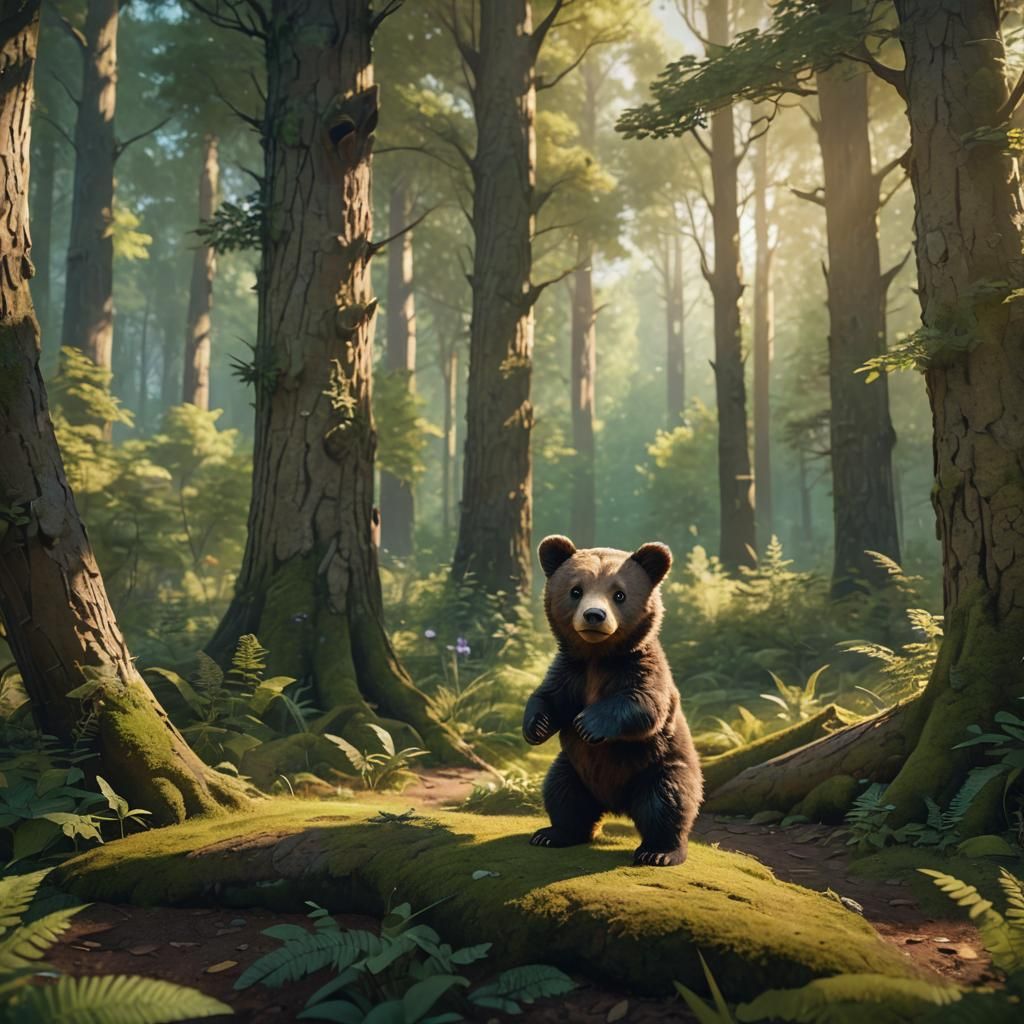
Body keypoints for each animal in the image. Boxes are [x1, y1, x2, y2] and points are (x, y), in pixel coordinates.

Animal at [522, 535, 703, 866]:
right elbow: (548, 697)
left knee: (667, 801)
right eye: (576, 590)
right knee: (562, 794)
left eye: (619, 594)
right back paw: (552, 834)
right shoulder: (572, 672)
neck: (599, 657)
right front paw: (536, 727)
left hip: (658, 766)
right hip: (572, 767)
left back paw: (659, 851)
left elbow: (644, 704)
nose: (594, 615)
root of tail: (616, 805)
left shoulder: (640, 666)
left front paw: (587, 724)